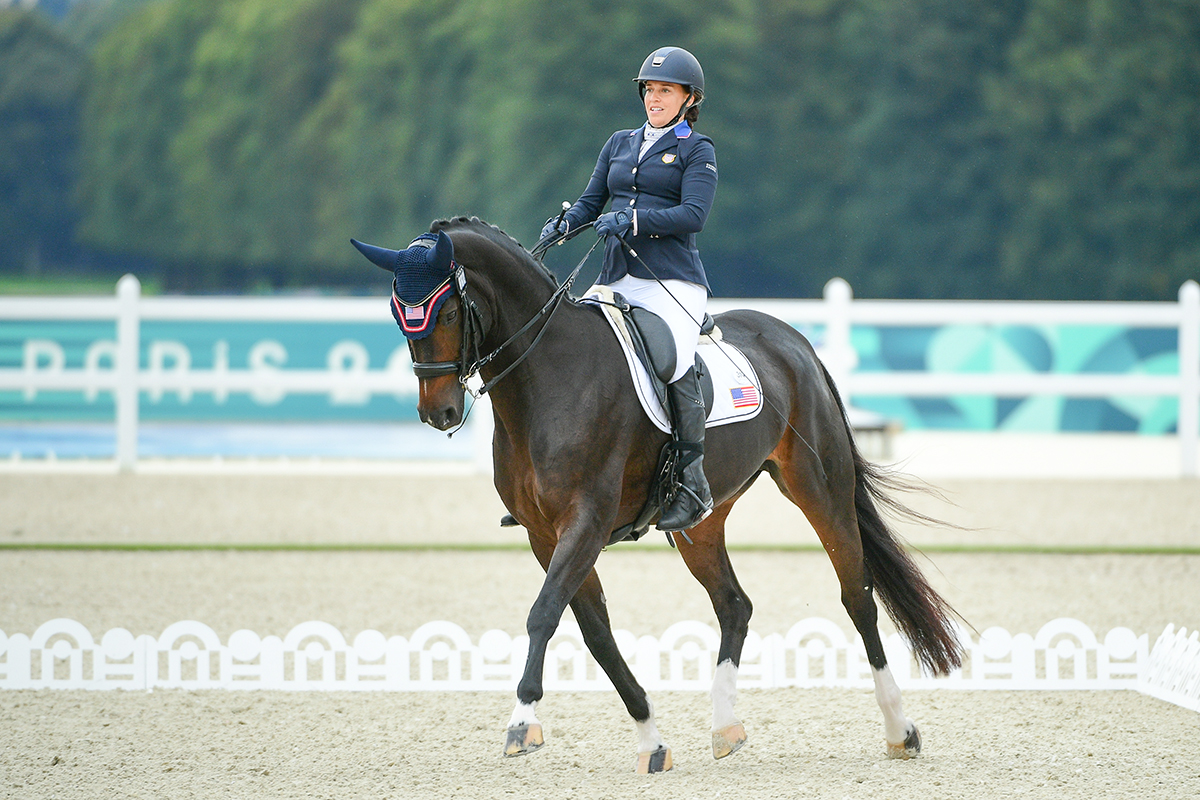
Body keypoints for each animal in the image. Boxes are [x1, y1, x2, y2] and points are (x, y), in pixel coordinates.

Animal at [352, 217, 964, 777]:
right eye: (398, 315)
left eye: (448, 313)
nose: (438, 413)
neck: (548, 377)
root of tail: (792, 340)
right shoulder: (544, 534)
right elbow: (595, 632)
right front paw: (651, 740)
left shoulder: (586, 522)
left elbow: (543, 614)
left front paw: (522, 722)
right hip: (701, 520)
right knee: (734, 604)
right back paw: (725, 728)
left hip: (820, 489)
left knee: (857, 596)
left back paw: (900, 731)